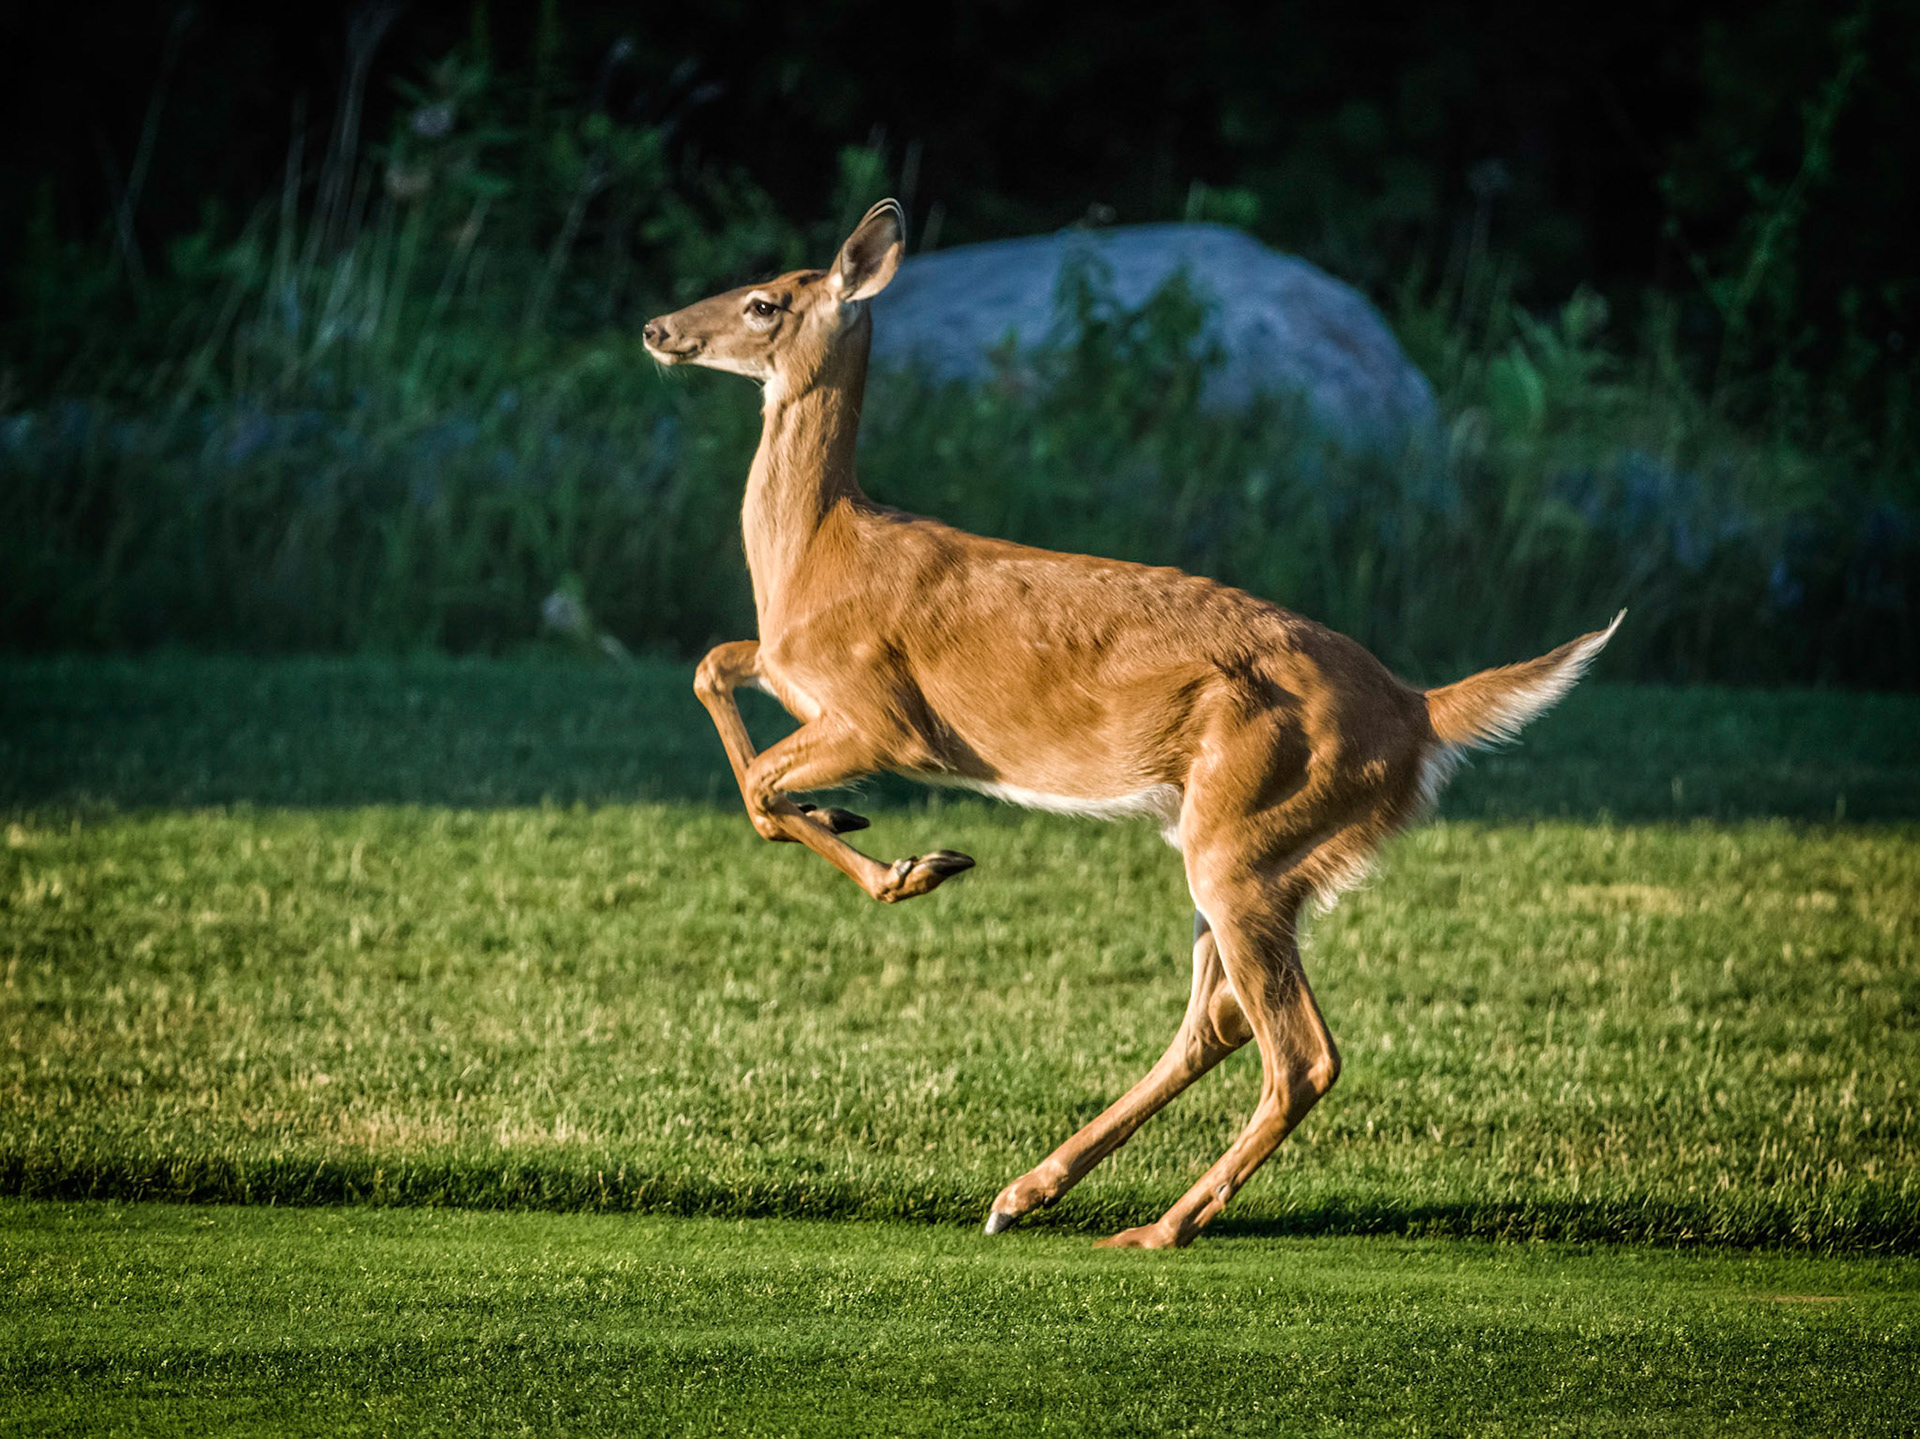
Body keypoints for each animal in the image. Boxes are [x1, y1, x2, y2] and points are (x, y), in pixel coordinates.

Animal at [642, 199, 1622, 1249]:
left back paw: (1155, 1226)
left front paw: (912, 864)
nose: (658, 328)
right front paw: (860, 827)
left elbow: (757, 786)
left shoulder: (886, 714)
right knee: (1219, 1024)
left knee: (1299, 1052)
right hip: (1250, 846)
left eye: (764, 302)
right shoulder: (791, 672)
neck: (818, 553)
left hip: (1249, 832)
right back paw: (1029, 1193)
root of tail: (1417, 710)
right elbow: (712, 669)